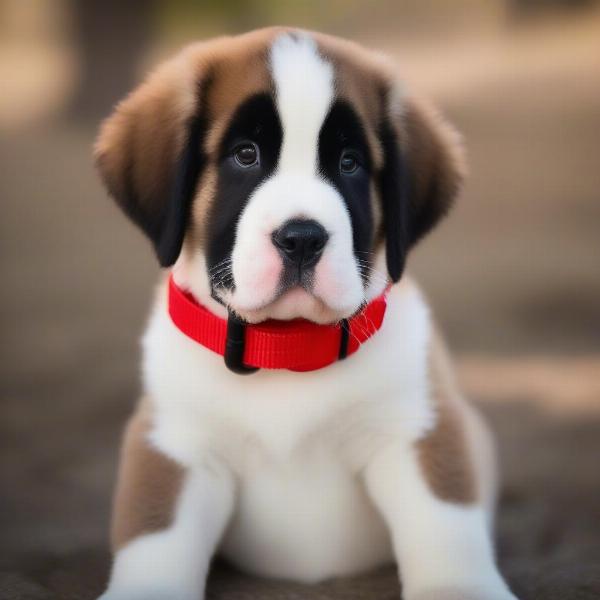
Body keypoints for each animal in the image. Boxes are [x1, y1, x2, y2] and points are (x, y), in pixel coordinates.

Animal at [94, 27, 516, 600]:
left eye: (350, 163)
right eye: (245, 154)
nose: (301, 238)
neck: (285, 346)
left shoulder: (418, 429)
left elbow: (446, 528)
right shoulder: (174, 444)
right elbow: (153, 540)